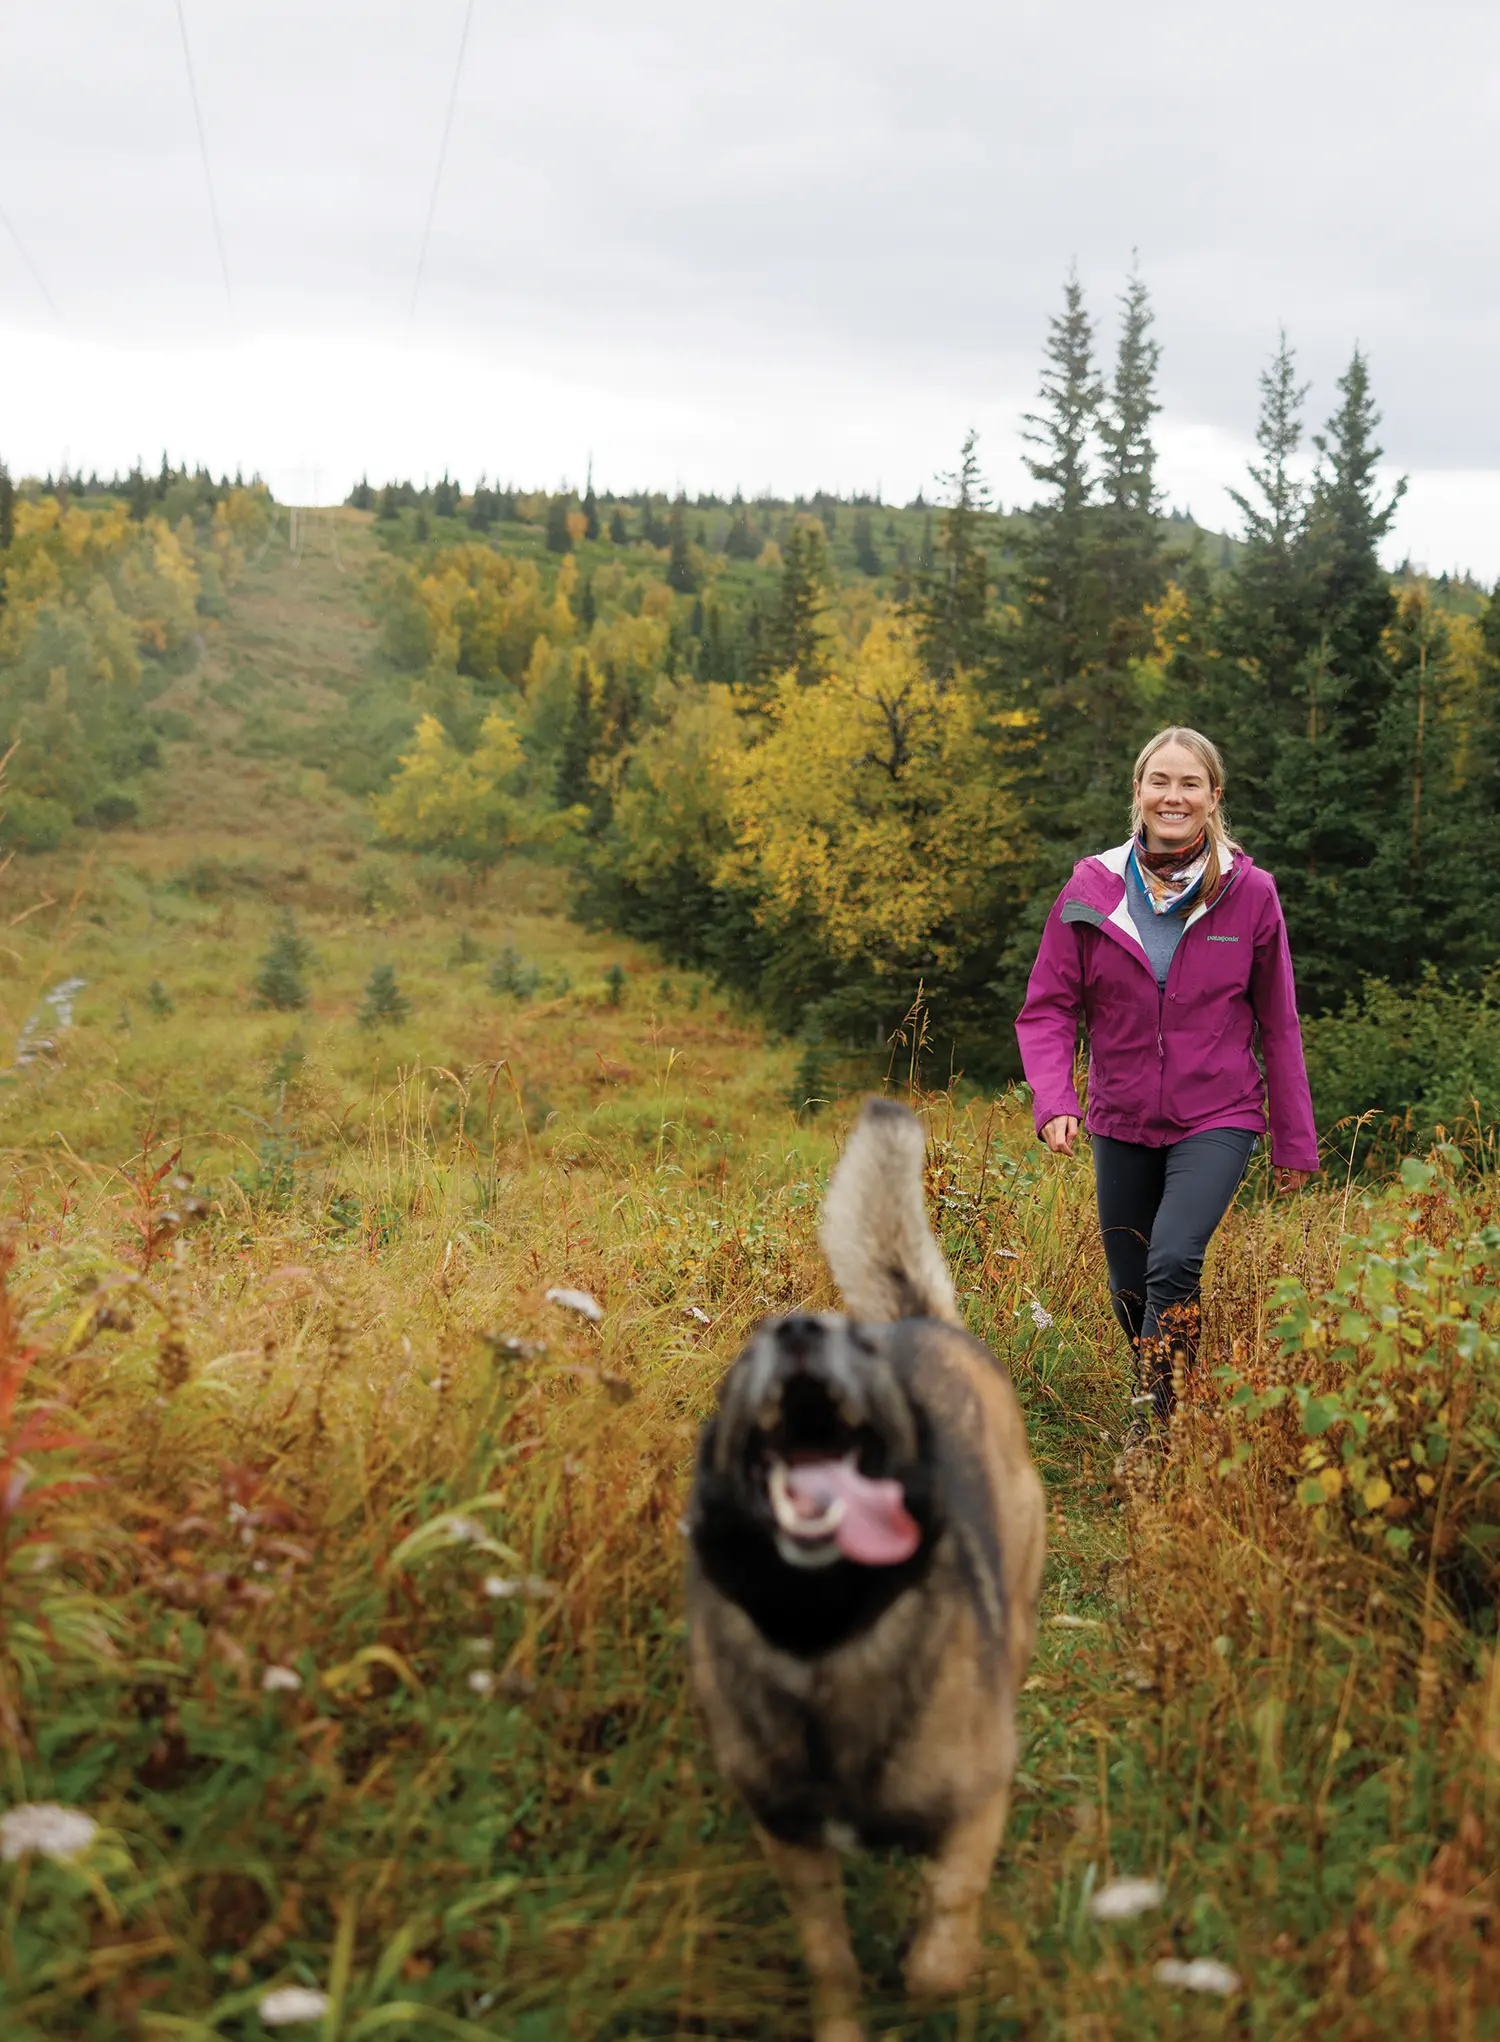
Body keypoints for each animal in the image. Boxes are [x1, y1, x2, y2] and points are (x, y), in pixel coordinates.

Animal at [689, 1102, 1053, 2042]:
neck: (827, 1633)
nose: (798, 1332)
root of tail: (921, 1320)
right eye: (751, 1348)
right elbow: (830, 1962)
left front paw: (932, 1962)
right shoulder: (789, 1838)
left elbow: (939, 1950)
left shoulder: (975, 1808)